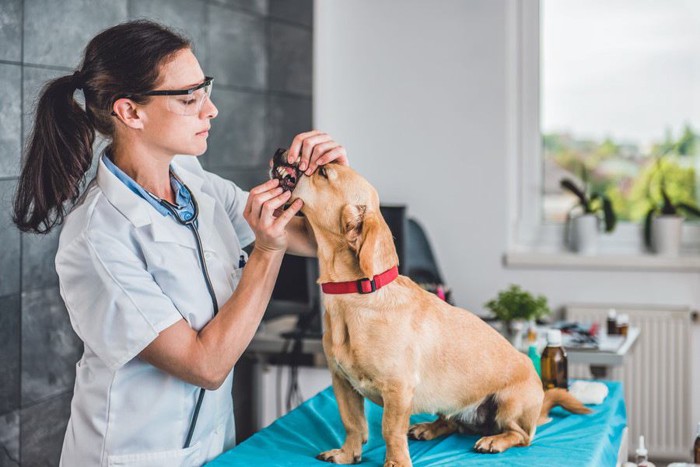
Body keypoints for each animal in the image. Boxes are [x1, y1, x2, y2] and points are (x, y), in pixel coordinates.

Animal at [270, 154, 588, 467]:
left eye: (323, 171)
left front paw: (396, 463)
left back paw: (494, 441)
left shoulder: (398, 389)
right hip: (451, 401)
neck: (356, 295)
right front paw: (347, 454)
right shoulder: (342, 384)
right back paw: (429, 428)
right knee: (453, 422)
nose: (280, 151)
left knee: (520, 435)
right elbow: (353, 424)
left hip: (510, 404)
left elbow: (389, 431)